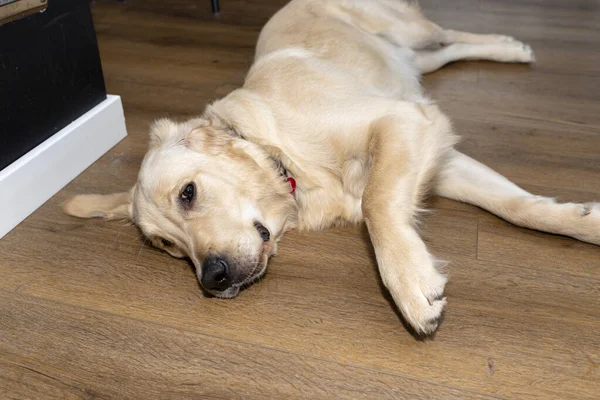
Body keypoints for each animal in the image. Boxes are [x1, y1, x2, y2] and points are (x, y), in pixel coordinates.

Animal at [63, 0, 596, 336]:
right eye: (167, 247)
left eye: (188, 193)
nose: (212, 278)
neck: (281, 153)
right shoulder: (435, 150)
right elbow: (518, 206)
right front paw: (583, 221)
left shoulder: (402, 121)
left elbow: (376, 204)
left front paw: (410, 287)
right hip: (409, 61)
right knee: (444, 54)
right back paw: (510, 48)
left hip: (406, 30)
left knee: (449, 34)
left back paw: (511, 46)